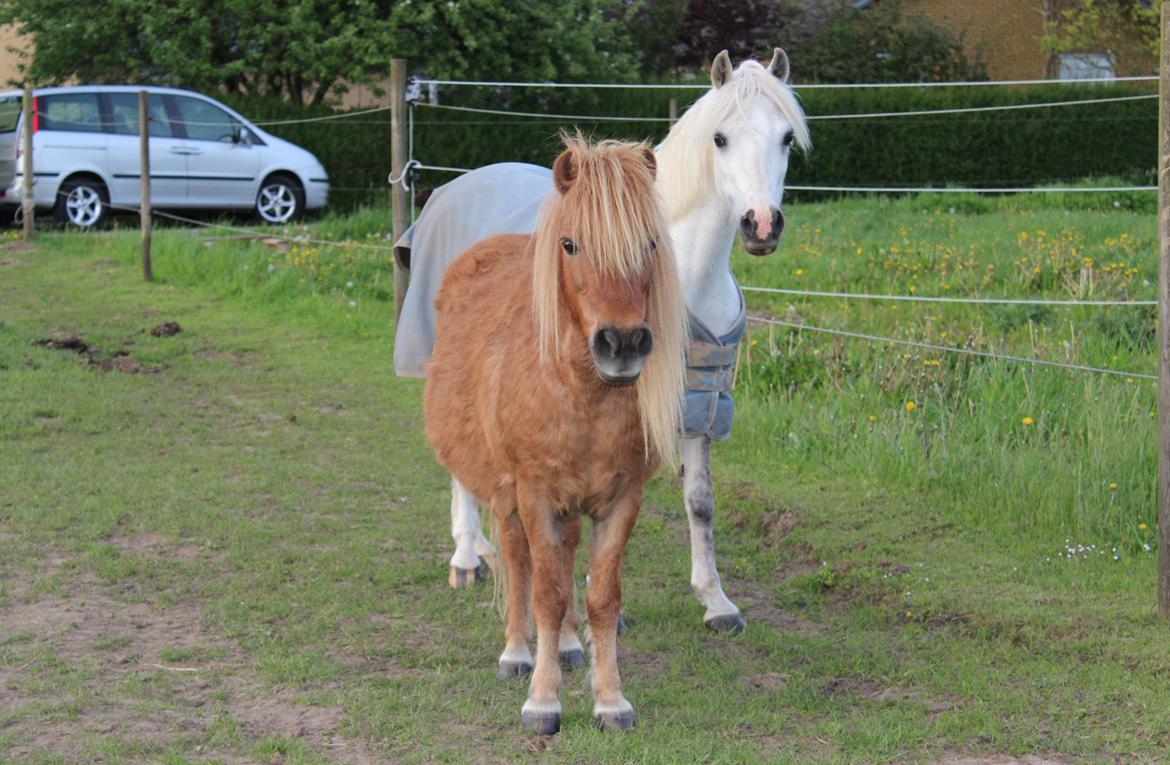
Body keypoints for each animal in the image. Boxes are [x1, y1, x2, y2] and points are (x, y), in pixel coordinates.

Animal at [396, 49, 810, 633]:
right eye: (720, 138)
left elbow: (699, 501)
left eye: (786, 138)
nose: (762, 224)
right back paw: (466, 556)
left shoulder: (699, 401)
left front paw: (716, 600)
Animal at [423, 136, 686, 733]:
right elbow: (544, 591)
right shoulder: (536, 495)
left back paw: (565, 647)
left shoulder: (622, 499)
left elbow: (601, 597)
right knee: (520, 562)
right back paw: (518, 653)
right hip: (507, 495)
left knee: (564, 560)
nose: (623, 343)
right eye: (570, 244)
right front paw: (542, 700)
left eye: (651, 242)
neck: (581, 398)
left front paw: (610, 700)